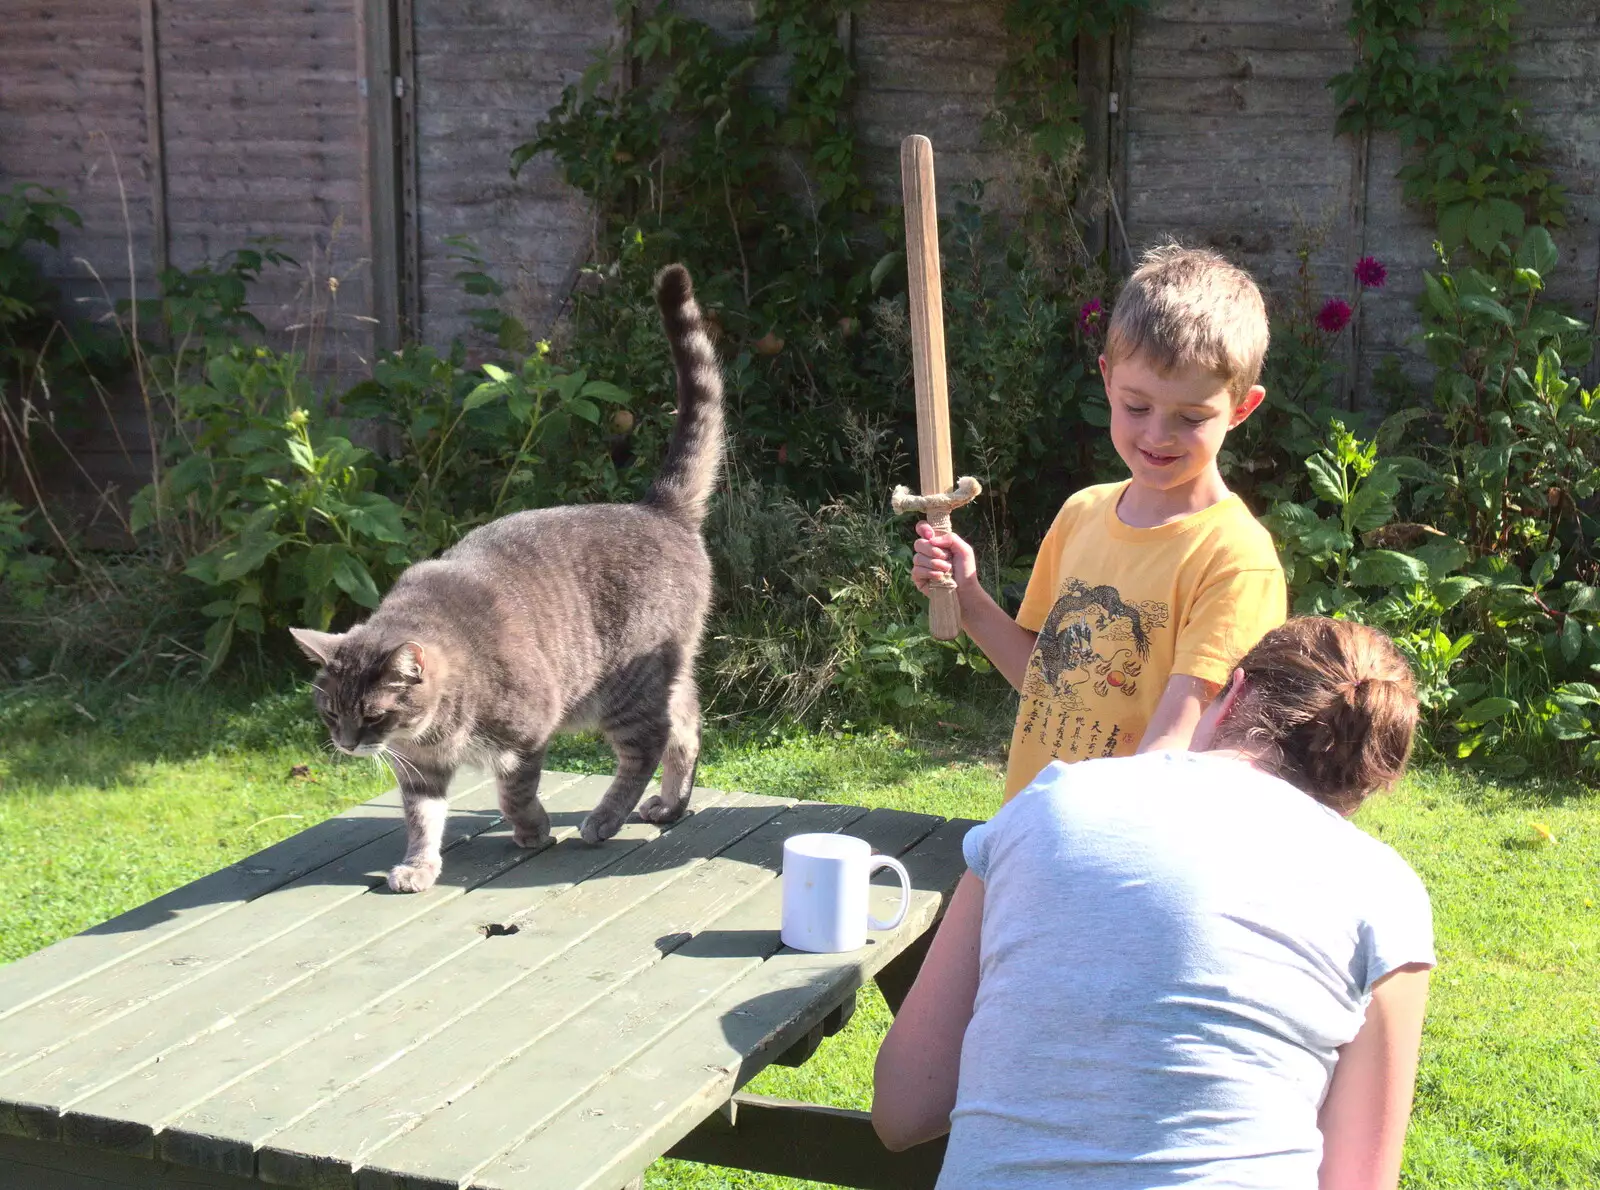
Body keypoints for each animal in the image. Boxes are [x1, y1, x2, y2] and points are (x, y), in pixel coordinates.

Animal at [291, 262, 723, 895]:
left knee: (646, 745)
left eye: (372, 715)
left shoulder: (528, 733)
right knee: (687, 725)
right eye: (329, 713)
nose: (345, 746)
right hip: (663, 678)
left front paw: (531, 830)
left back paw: (604, 819)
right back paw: (670, 806)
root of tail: (657, 507)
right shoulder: (420, 771)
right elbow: (422, 820)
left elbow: (514, 792)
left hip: (624, 688)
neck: (430, 730)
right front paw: (418, 866)